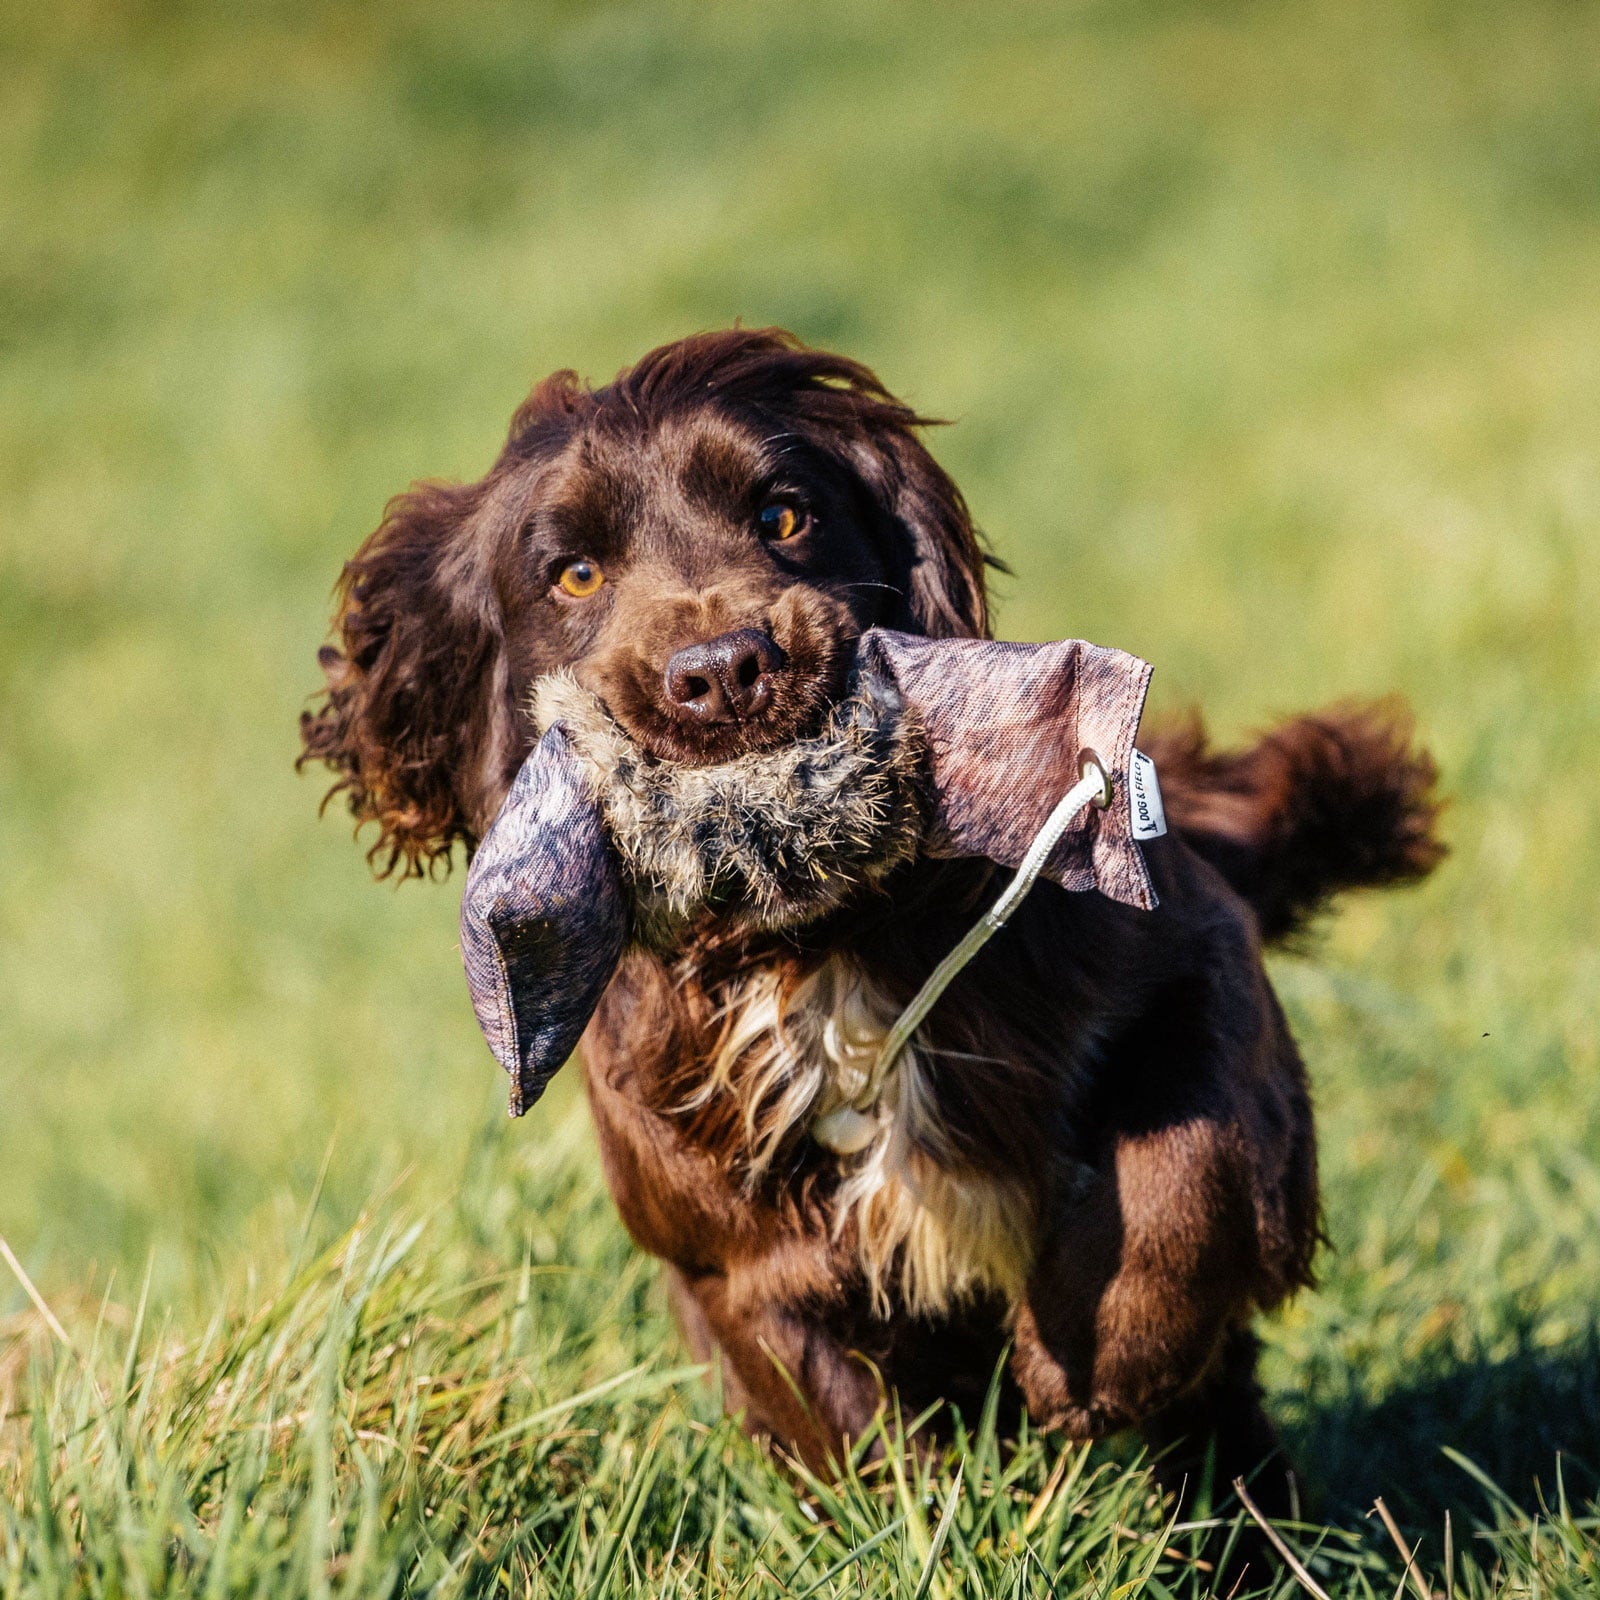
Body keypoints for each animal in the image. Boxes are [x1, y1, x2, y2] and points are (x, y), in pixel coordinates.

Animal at [297, 328, 1440, 1510]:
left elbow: (1187, 1152)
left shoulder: (1193, 952)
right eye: (573, 573)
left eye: (783, 515)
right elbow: (840, 1415)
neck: (815, 954)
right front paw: (937, 1519)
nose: (726, 669)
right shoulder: (727, 1255)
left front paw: (1105, 1356)